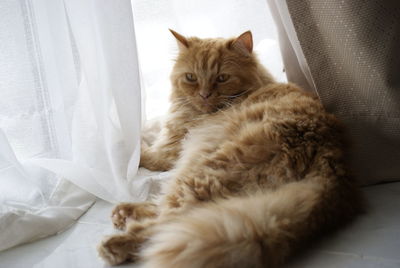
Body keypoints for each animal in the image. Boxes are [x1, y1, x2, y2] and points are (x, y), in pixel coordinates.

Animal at [97, 29, 362, 268]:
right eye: (191, 77)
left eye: (222, 78)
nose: (204, 95)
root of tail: (332, 165)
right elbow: (150, 132)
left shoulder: (171, 148)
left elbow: (145, 153)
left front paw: (121, 145)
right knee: (166, 210)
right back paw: (124, 213)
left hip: (200, 171)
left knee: (167, 222)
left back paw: (117, 243)